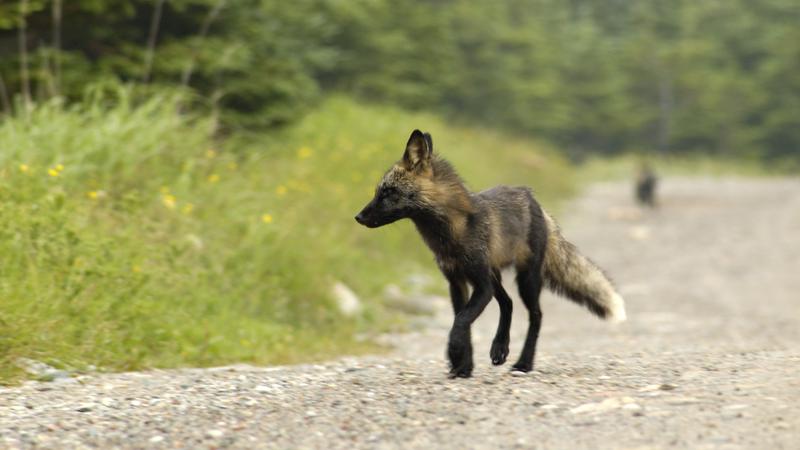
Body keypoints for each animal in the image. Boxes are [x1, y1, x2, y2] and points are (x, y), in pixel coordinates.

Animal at [354, 129, 624, 376]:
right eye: (379, 191)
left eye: (388, 192)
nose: (358, 217)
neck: (452, 235)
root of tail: (533, 199)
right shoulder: (457, 282)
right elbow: (463, 323)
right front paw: (463, 367)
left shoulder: (481, 285)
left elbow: (461, 322)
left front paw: (455, 353)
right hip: (495, 276)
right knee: (508, 303)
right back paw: (500, 348)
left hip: (525, 279)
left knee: (536, 315)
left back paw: (524, 363)